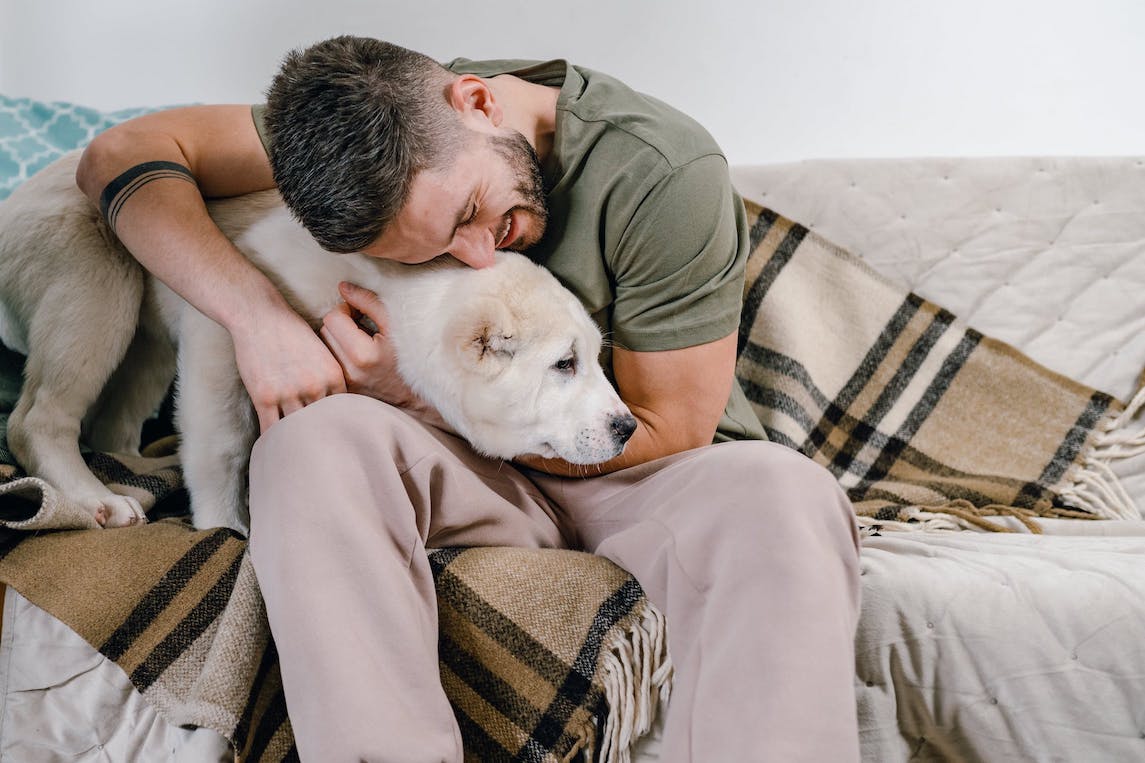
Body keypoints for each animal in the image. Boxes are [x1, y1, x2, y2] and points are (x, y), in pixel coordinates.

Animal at [0, 151, 636, 531]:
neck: (397, 281)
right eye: (563, 364)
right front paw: (223, 527)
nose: (628, 427)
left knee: (112, 421)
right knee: (37, 419)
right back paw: (95, 499)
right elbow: (224, 442)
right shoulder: (227, 320)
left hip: (145, 340)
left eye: (593, 359)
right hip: (95, 285)